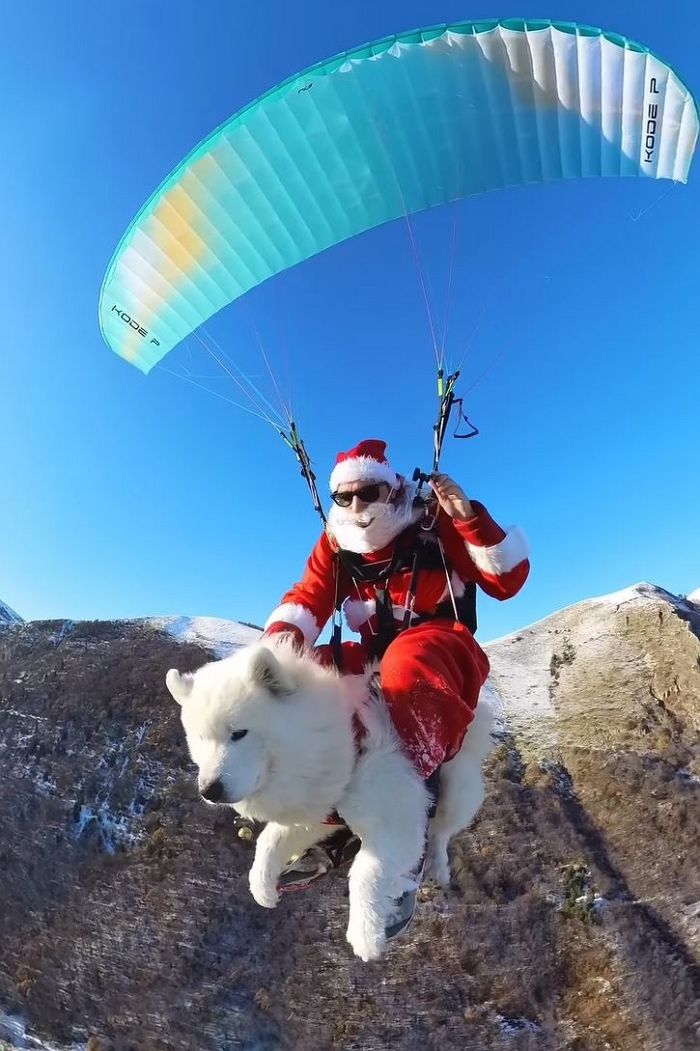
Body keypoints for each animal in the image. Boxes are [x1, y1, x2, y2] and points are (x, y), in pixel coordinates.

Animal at [166, 634, 493, 962]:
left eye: (239, 733)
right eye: (200, 738)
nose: (210, 790)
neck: (338, 742)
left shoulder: (396, 818)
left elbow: (366, 871)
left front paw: (366, 935)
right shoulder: (319, 811)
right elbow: (269, 840)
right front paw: (262, 886)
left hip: (456, 787)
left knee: (441, 832)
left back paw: (437, 866)